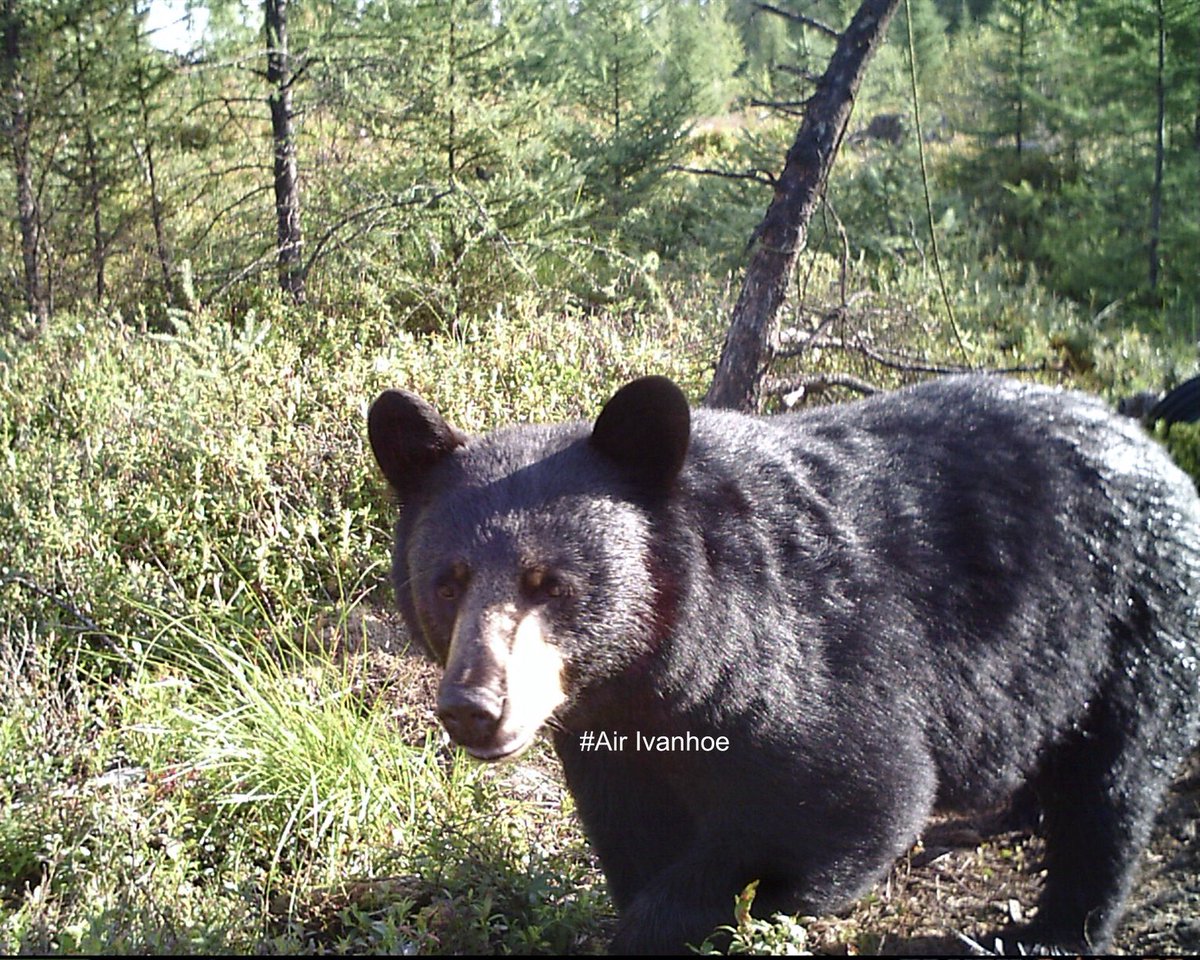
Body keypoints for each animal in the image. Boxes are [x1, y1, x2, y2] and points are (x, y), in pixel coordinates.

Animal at [367, 373, 1200, 954]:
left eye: (550, 583)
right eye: (447, 581)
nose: (474, 707)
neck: (660, 674)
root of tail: (1145, 436)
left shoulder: (814, 654)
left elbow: (848, 794)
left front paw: (664, 924)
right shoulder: (615, 742)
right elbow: (633, 830)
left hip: (1138, 618)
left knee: (1112, 785)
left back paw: (1052, 930)